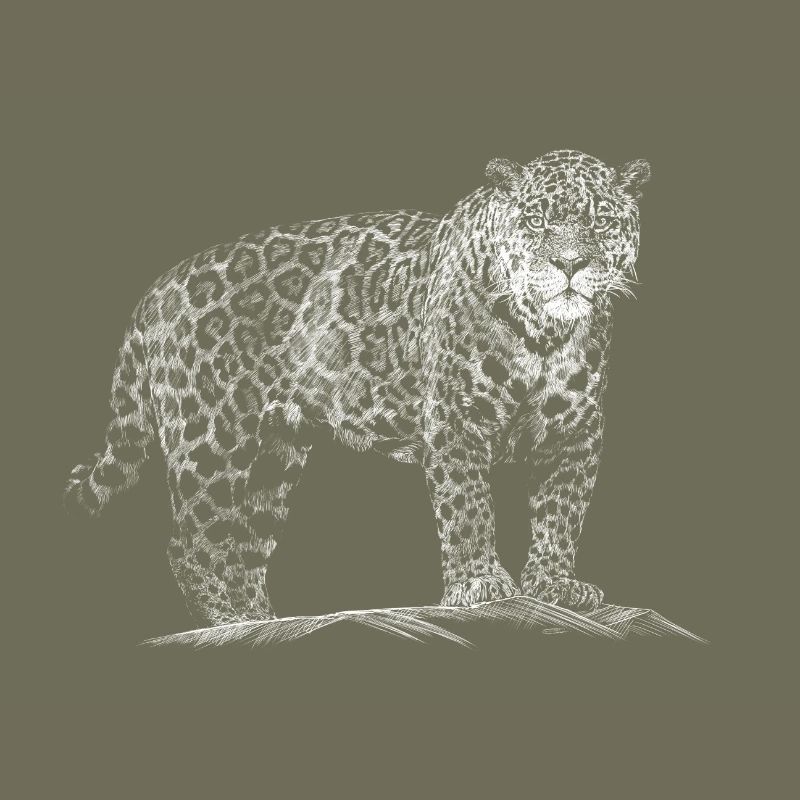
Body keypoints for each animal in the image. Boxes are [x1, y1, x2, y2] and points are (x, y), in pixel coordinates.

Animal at [64, 149, 651, 626]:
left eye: (601, 221)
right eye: (535, 221)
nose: (570, 264)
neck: (544, 334)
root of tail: (154, 291)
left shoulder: (575, 431)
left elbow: (561, 512)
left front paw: (555, 585)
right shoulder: (455, 421)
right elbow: (467, 507)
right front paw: (480, 584)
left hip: (275, 453)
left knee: (246, 548)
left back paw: (263, 620)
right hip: (212, 438)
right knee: (193, 543)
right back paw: (229, 622)